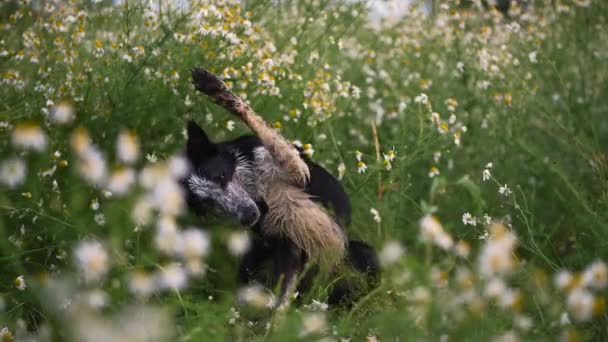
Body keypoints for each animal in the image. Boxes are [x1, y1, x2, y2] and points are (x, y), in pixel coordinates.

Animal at [182, 69, 380, 308]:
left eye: (220, 176)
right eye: (207, 204)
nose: (248, 216)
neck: (256, 183)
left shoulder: (298, 169)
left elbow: (259, 124)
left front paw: (214, 86)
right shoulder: (284, 245)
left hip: (362, 254)